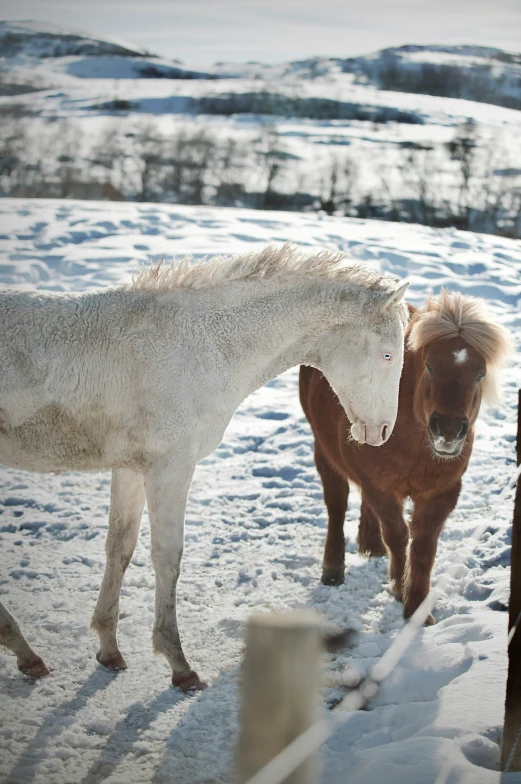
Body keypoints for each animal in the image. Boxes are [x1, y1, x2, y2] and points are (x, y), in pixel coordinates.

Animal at [0, 243, 406, 688]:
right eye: (388, 355)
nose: (383, 431)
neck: (204, 347)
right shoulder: (170, 468)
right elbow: (167, 558)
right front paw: (178, 664)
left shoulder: (131, 469)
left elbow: (119, 549)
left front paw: (109, 649)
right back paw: (24, 651)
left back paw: (26, 654)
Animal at [298, 290, 510, 624]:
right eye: (430, 366)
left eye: (480, 374)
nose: (448, 431)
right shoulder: (381, 488)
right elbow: (398, 536)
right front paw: (400, 588)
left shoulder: (442, 492)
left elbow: (424, 546)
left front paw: (418, 609)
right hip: (324, 449)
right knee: (337, 503)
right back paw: (333, 567)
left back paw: (371, 544)